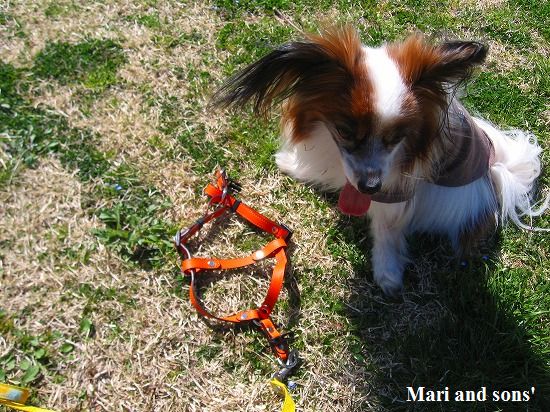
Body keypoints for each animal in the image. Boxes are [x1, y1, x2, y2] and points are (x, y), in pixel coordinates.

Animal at [212, 26, 548, 296]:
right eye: (345, 131)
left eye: (397, 138)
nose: (371, 187)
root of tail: (495, 173)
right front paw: (293, 164)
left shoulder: (396, 189)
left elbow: (388, 228)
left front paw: (387, 272)